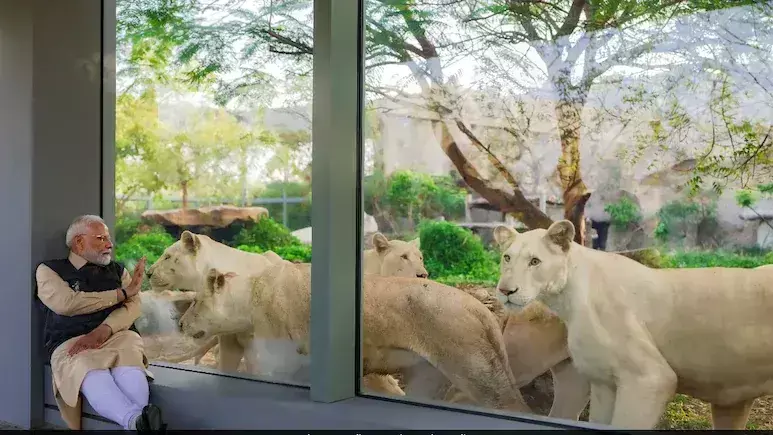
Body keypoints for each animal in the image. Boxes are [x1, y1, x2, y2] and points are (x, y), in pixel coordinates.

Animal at [493, 220, 773, 429]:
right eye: (507, 258)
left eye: (535, 261)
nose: (505, 290)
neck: (566, 300)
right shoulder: (603, 382)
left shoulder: (649, 378)